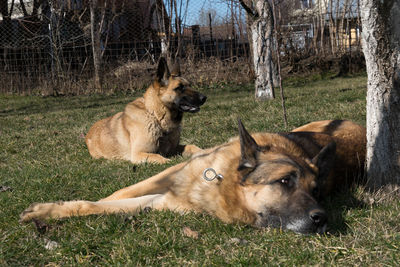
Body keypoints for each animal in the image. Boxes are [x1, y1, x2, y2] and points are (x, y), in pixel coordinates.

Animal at [21, 120, 366, 236]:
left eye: (317, 191)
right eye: (284, 182)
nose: (322, 219)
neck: (221, 183)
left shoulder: (161, 202)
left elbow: (105, 206)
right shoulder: (165, 175)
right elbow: (112, 196)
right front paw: (52, 208)